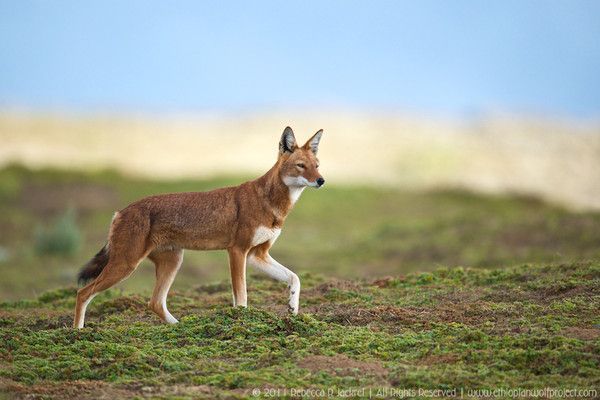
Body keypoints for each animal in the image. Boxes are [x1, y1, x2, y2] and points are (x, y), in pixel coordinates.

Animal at [73, 127, 326, 328]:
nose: (321, 180)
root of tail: (120, 212)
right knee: (82, 293)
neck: (272, 204)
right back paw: (78, 332)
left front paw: (293, 308)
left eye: (317, 166)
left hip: (172, 263)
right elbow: (241, 295)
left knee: (155, 303)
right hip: (126, 265)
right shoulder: (237, 251)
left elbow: (295, 278)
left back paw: (180, 326)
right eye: (301, 166)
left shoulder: (257, 254)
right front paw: (241, 321)